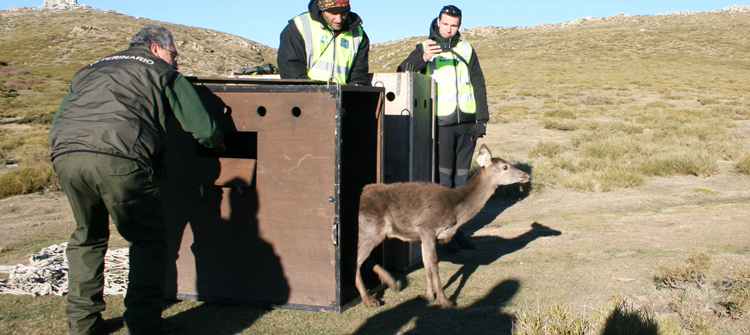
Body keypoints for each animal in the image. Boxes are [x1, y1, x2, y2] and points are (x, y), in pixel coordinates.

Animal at [356, 144, 532, 310]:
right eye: (505, 167)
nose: (527, 176)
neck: (456, 210)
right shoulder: (428, 227)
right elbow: (434, 263)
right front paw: (445, 300)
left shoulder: (422, 236)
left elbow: (427, 264)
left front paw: (427, 296)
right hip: (370, 228)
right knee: (356, 260)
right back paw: (369, 300)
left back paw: (389, 282)